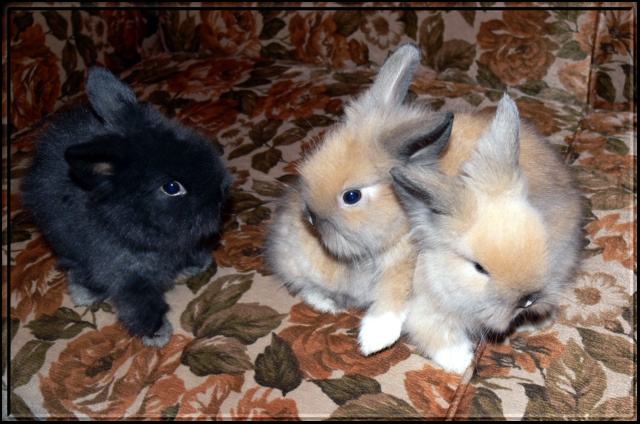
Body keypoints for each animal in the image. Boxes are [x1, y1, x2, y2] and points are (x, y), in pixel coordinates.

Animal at [22, 67, 232, 348]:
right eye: (172, 187)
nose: (221, 192)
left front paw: (196, 263)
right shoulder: (125, 273)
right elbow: (139, 303)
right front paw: (157, 333)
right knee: (76, 265)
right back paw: (86, 292)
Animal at [265, 43, 454, 355]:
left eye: (351, 196)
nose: (310, 217)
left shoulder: (404, 263)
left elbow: (393, 292)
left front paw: (375, 338)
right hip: (291, 256)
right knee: (303, 284)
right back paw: (328, 305)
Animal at [390, 94, 584, 374]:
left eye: (542, 241)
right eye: (479, 268)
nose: (527, 300)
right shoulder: (422, 310)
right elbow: (437, 336)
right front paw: (462, 364)